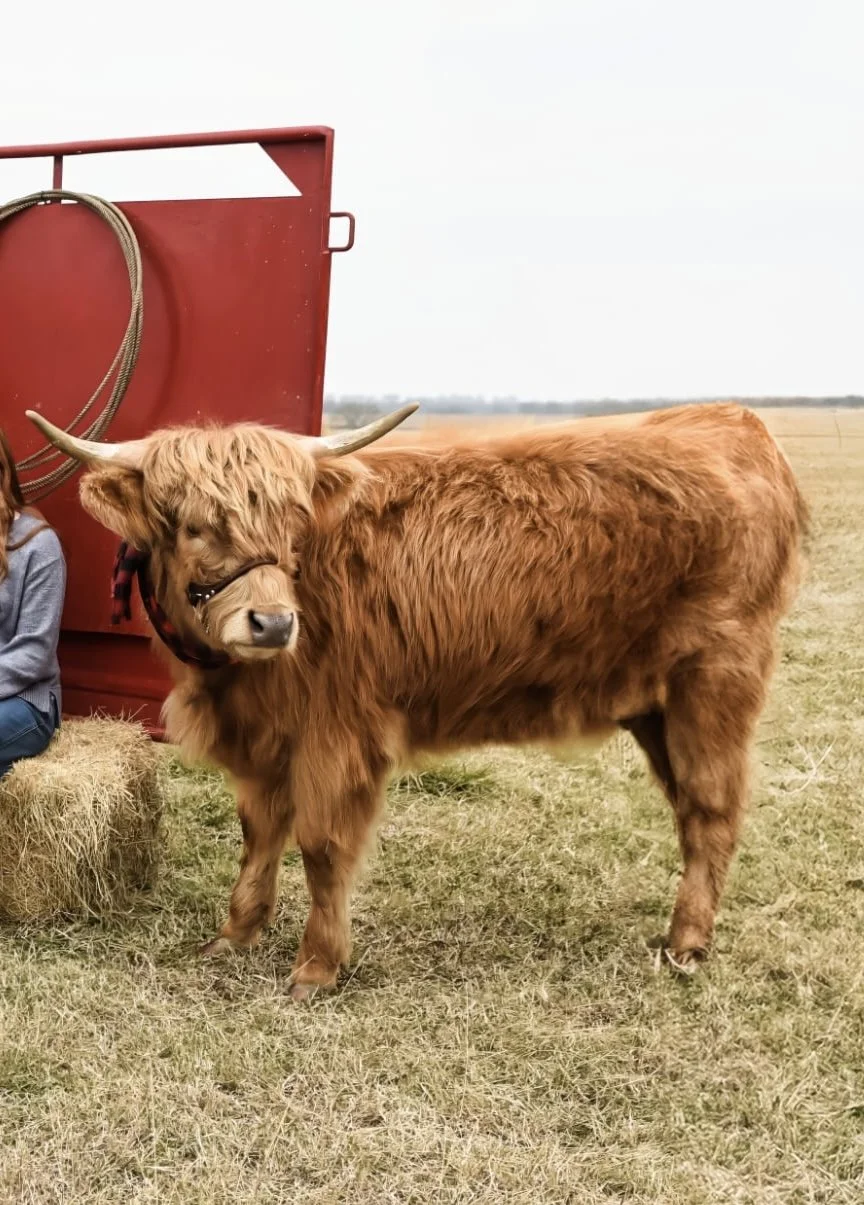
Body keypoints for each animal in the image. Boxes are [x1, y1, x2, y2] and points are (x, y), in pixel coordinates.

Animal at [27, 402, 807, 999]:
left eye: (292, 527)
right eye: (193, 525)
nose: (272, 624)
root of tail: (729, 421)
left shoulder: (339, 735)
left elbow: (320, 847)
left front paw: (316, 966)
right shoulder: (264, 741)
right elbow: (260, 834)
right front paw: (235, 934)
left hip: (715, 686)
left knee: (712, 811)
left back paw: (687, 945)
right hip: (655, 707)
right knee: (693, 811)